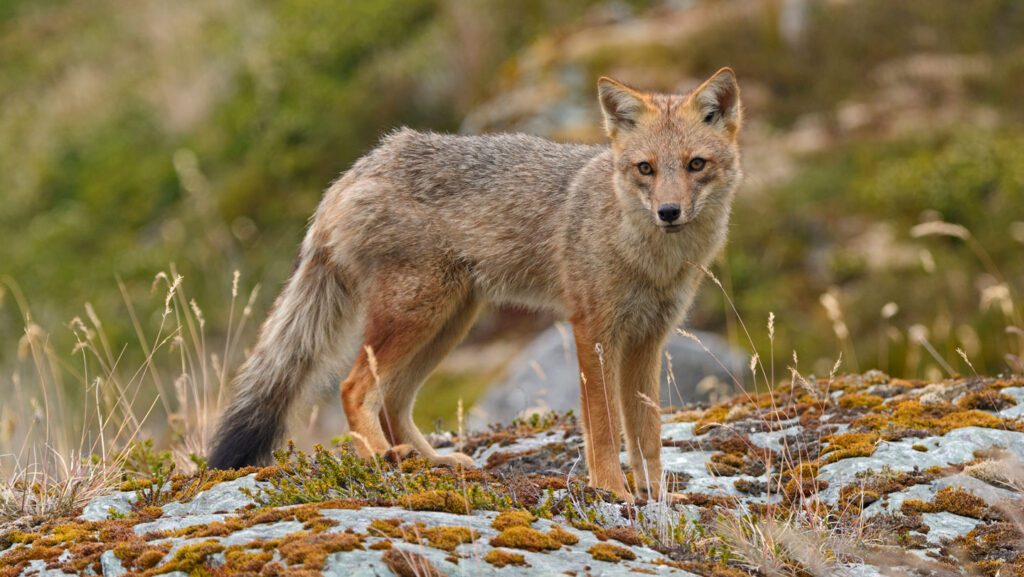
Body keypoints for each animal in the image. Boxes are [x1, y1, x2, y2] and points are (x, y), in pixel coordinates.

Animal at [208, 68, 743, 500]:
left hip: (448, 323)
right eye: (645, 168)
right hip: (417, 316)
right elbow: (606, 429)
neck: (651, 258)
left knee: (393, 402)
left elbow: (647, 433)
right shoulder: (593, 333)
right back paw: (382, 457)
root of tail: (363, 166)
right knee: (354, 388)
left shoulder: (648, 341)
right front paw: (613, 490)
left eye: (695, 164)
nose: (668, 212)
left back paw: (432, 461)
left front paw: (658, 495)